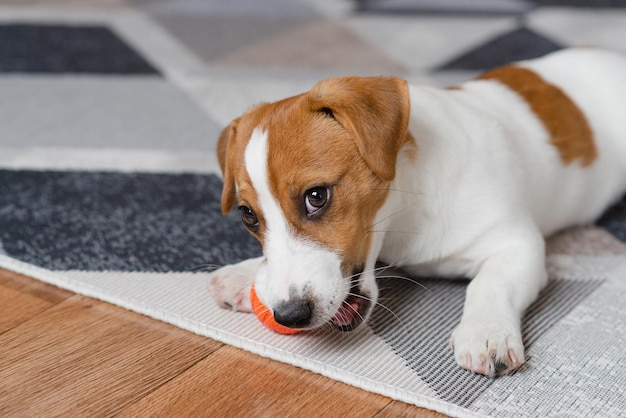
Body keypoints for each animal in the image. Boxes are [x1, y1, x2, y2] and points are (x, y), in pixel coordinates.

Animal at [207, 47, 624, 378]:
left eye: (316, 196)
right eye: (248, 216)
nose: (289, 315)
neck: (407, 211)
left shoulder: (517, 243)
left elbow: (489, 283)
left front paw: (487, 332)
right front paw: (246, 274)